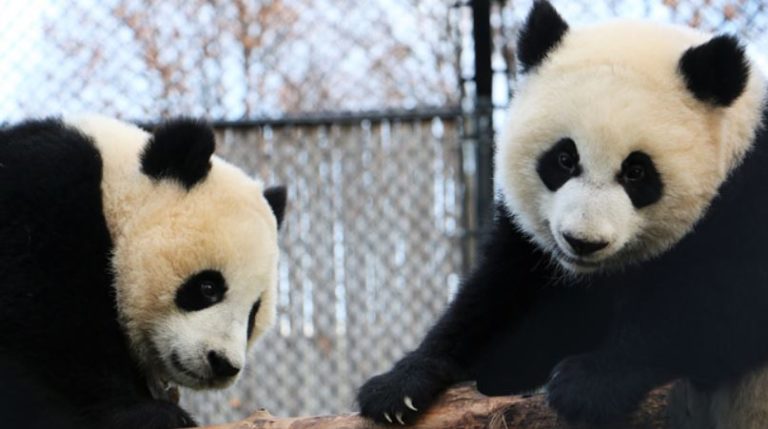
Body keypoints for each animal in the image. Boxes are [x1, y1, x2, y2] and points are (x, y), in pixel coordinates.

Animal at [0, 114, 286, 428]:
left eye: (253, 313)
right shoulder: (40, 197)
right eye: (208, 287)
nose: (222, 363)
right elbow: (48, 326)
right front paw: (146, 413)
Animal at [356, 0, 768, 424]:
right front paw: (401, 385)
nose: (582, 242)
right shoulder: (532, 251)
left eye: (637, 172)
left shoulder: (748, 196)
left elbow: (722, 303)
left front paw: (592, 381)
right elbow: (502, 301)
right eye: (564, 159)